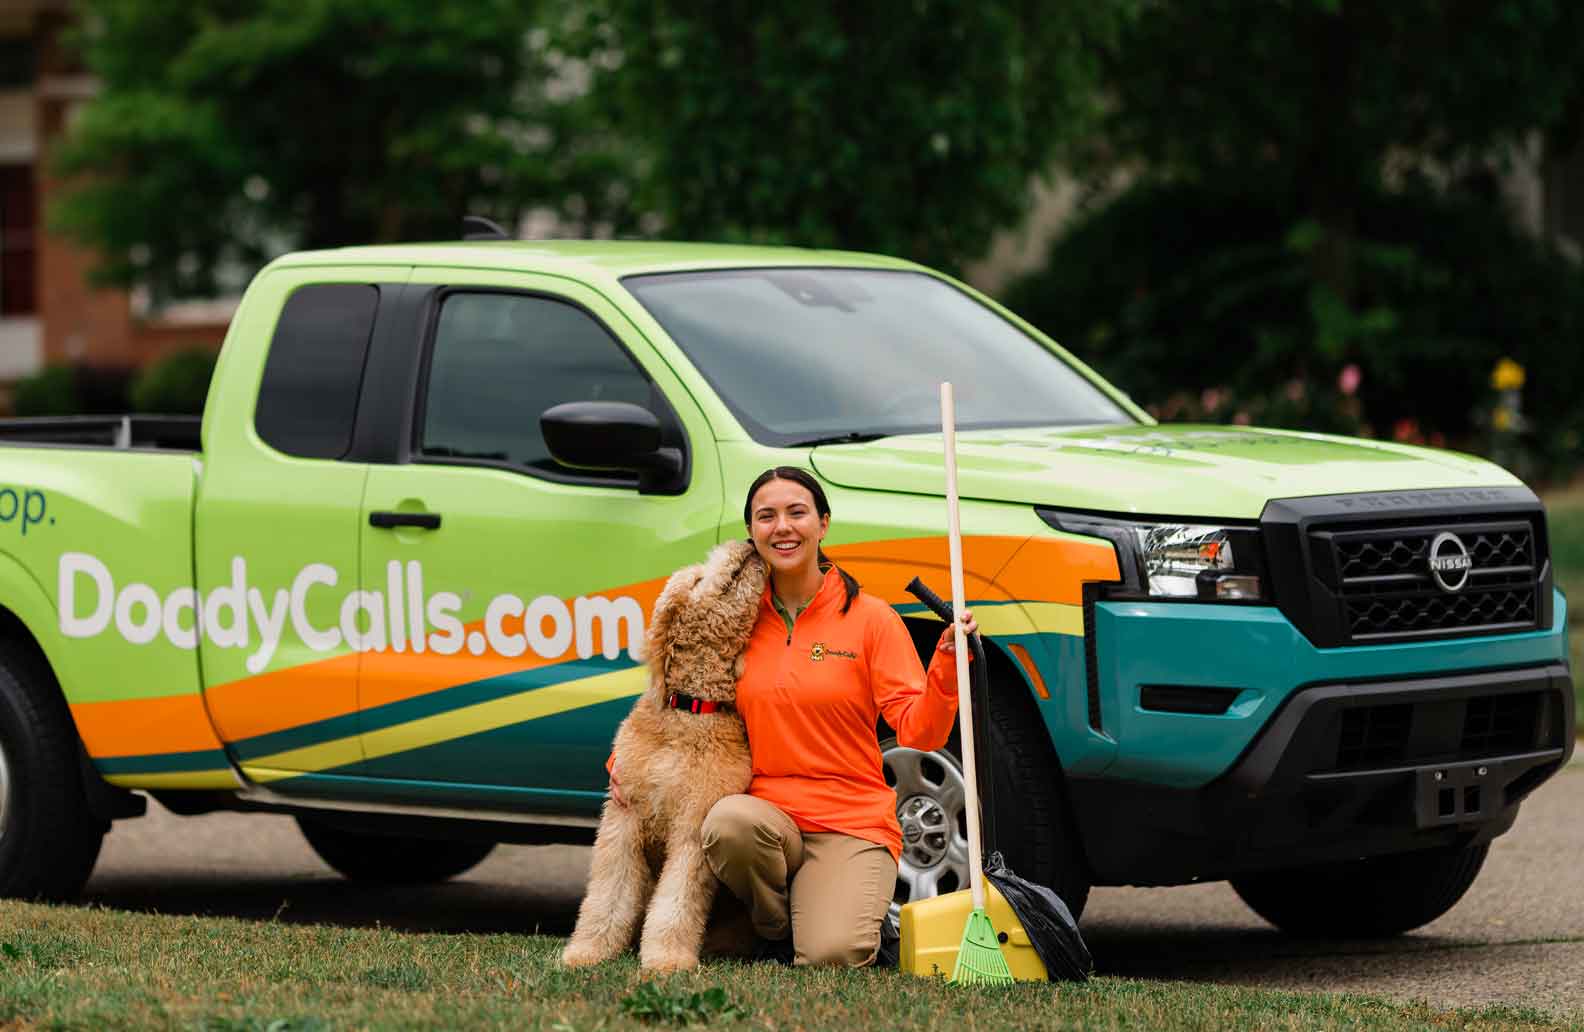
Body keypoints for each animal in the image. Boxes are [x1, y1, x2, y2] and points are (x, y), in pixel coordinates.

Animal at [563, 534, 766, 968]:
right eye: (698, 578)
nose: (747, 539)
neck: (689, 709)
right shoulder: (623, 819)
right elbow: (608, 894)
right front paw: (588, 951)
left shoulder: (693, 828)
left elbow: (676, 902)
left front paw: (668, 960)